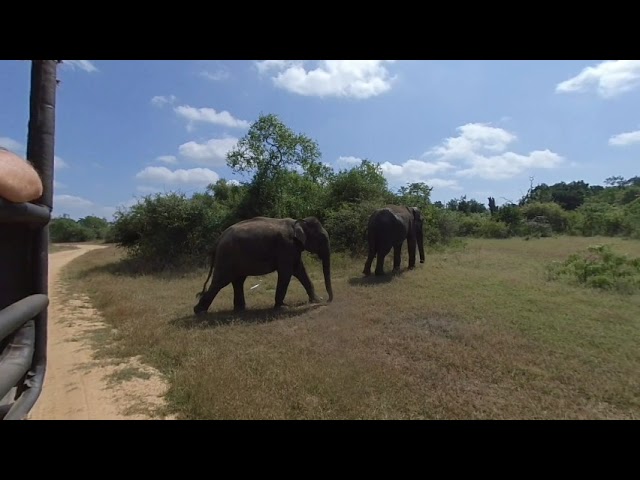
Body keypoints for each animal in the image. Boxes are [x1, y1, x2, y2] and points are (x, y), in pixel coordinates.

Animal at [194, 215, 336, 316]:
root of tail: (219, 239)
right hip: (226, 257)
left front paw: (317, 300)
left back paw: (240, 310)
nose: (327, 300)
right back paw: (199, 312)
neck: (298, 221)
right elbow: (286, 272)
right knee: (220, 282)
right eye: (322, 238)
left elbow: (299, 270)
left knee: (238, 281)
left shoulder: (293, 249)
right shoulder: (286, 247)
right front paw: (283, 308)